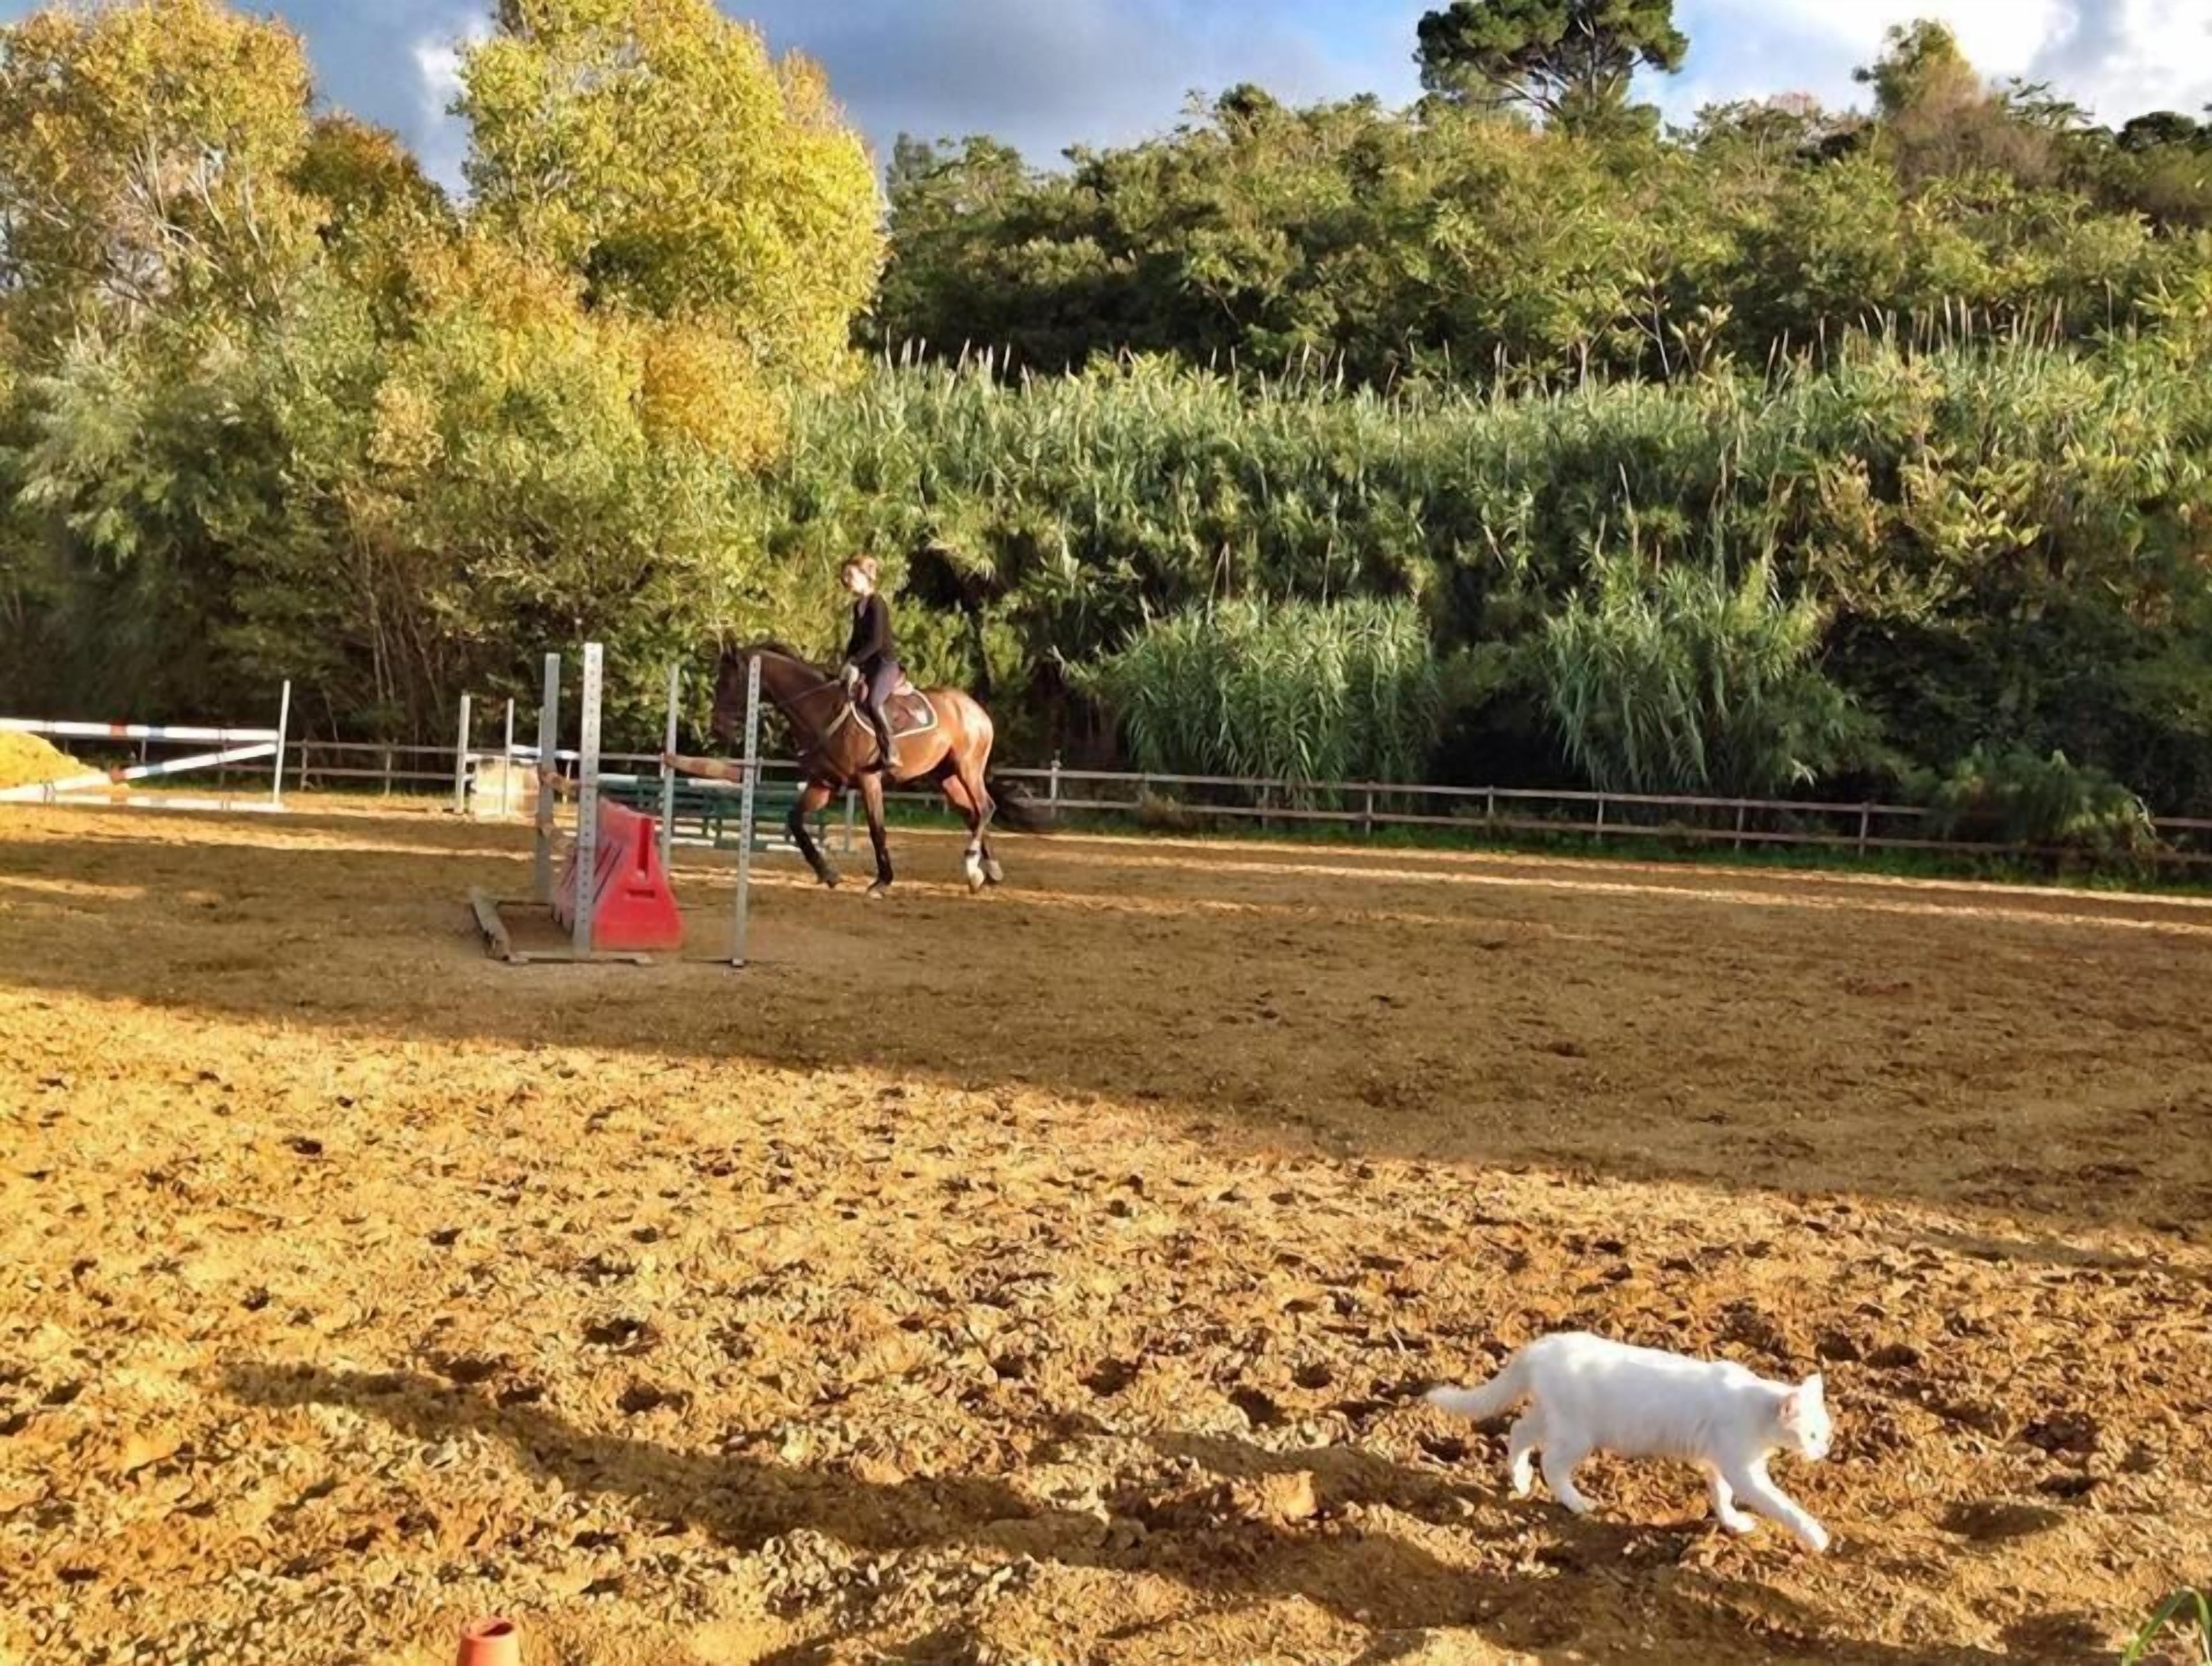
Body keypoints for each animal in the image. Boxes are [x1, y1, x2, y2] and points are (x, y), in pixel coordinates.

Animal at [710, 642, 1047, 898]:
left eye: (727, 682)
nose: (718, 730)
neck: (820, 709)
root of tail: (974, 709)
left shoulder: (869, 780)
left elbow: (877, 830)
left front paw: (882, 881)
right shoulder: (823, 783)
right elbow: (795, 821)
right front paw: (828, 873)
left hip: (968, 768)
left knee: (986, 807)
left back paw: (973, 864)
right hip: (946, 777)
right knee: (973, 814)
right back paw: (986, 873)